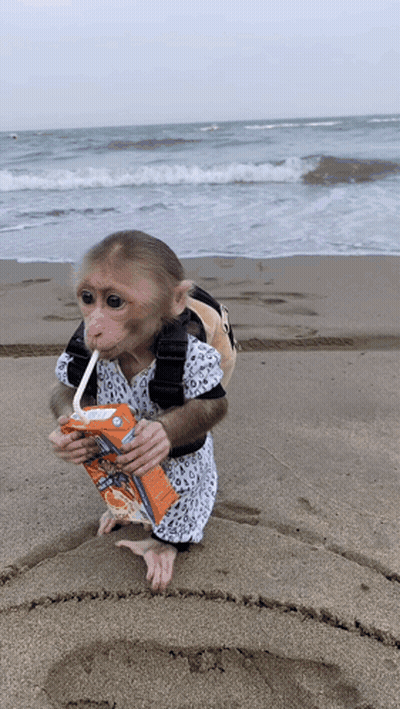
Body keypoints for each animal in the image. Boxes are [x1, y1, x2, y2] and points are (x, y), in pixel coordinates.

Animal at [49, 231, 228, 592]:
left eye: (114, 302)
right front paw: (68, 441)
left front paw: (155, 438)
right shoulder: (78, 358)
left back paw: (159, 548)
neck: (137, 349)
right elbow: (66, 387)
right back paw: (115, 516)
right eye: (87, 298)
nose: (93, 328)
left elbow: (211, 403)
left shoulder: (197, 356)